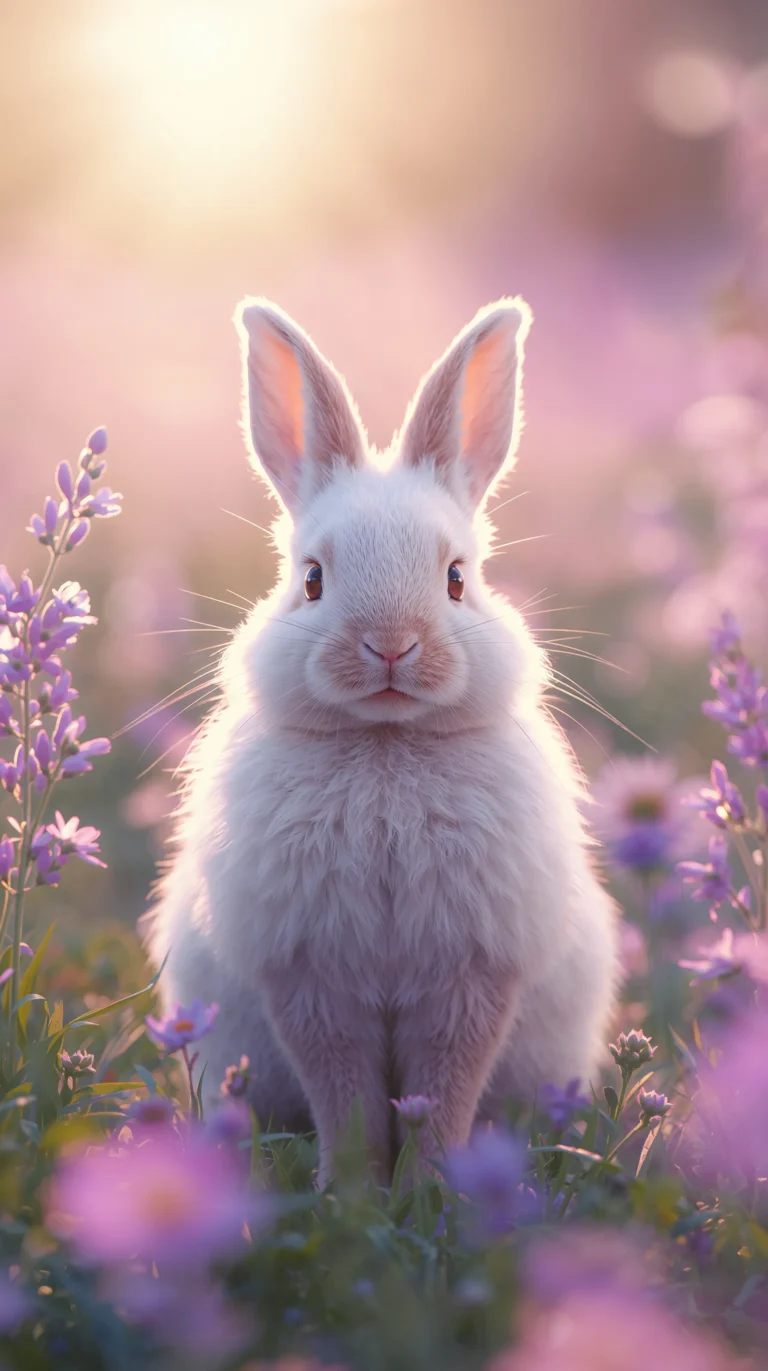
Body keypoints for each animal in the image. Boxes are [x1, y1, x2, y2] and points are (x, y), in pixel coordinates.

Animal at [146, 296, 619, 1186]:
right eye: (311, 579)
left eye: (458, 578)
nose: (391, 645)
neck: (387, 741)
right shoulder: (310, 974)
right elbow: (345, 1093)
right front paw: (353, 1193)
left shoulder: (472, 973)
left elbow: (446, 1086)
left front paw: (434, 1190)